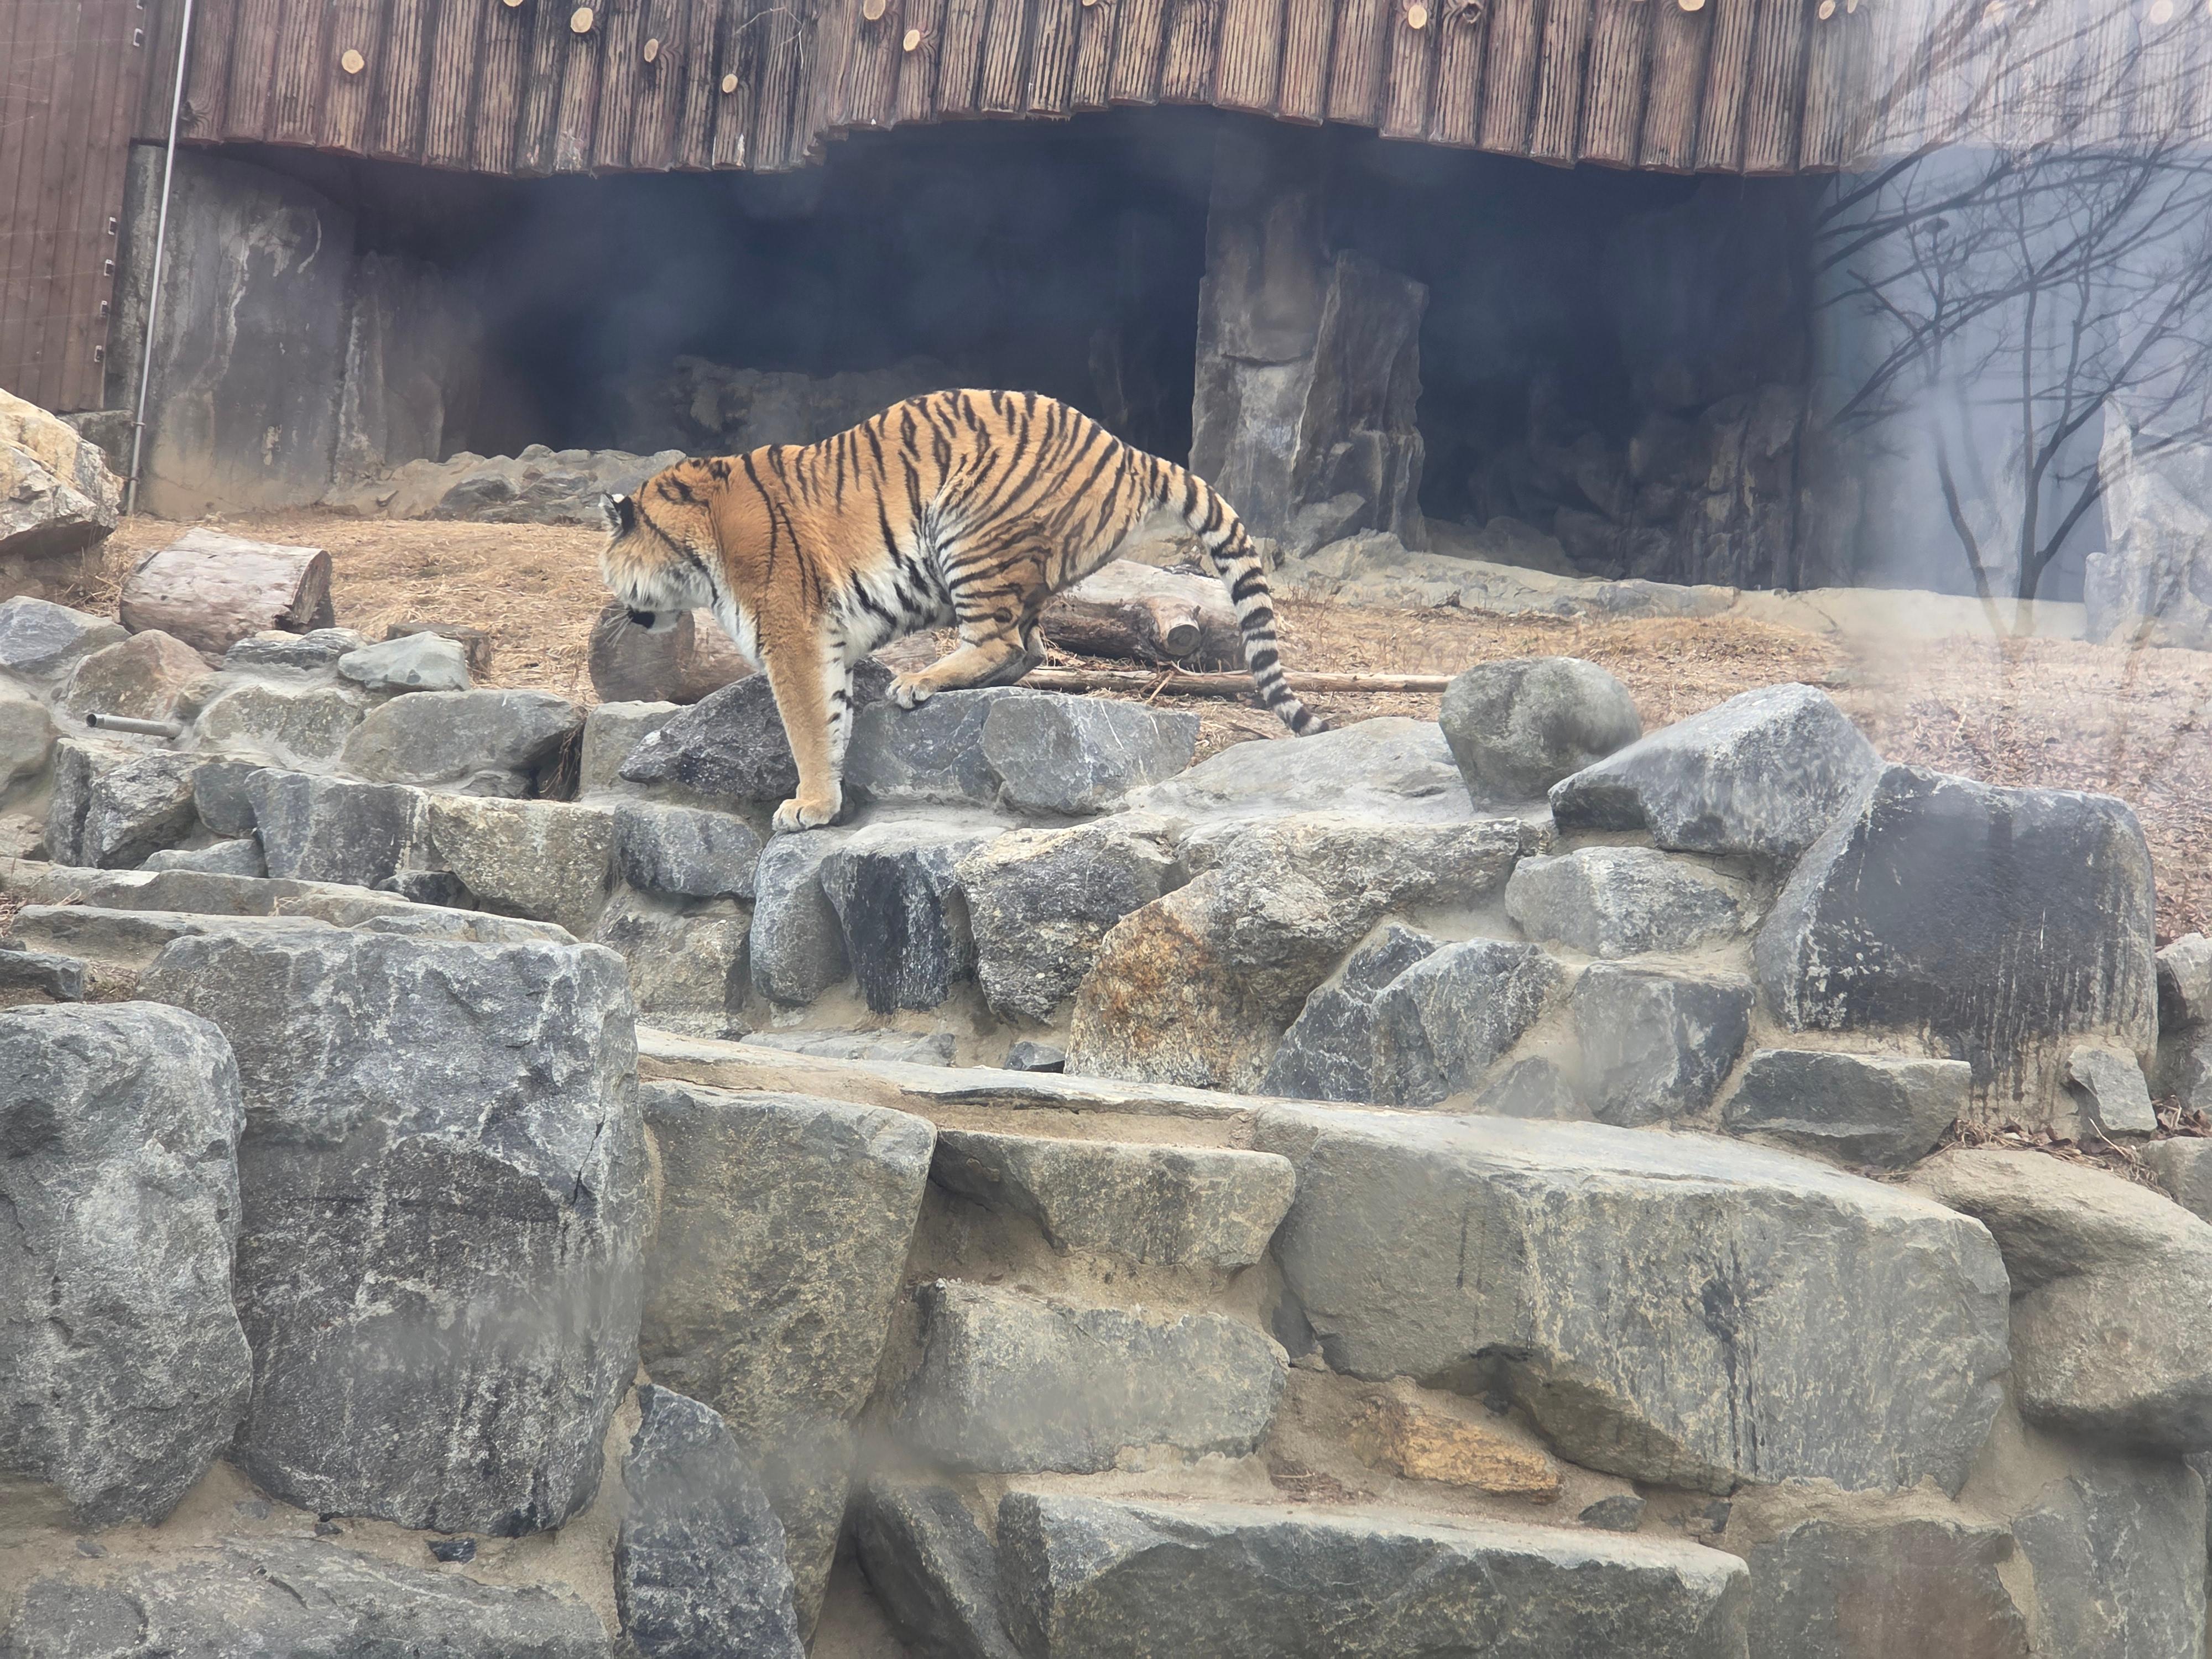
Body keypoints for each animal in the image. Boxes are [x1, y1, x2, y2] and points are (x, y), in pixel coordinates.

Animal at [598, 388, 1325, 834]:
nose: (618, 615)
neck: (695, 548)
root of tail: (1127, 452)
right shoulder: (819, 642)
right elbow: (830, 719)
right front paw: (823, 800)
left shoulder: (792, 637)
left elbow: (805, 725)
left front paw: (808, 806)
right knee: (1029, 649)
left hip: (971, 530)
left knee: (1003, 644)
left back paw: (918, 682)